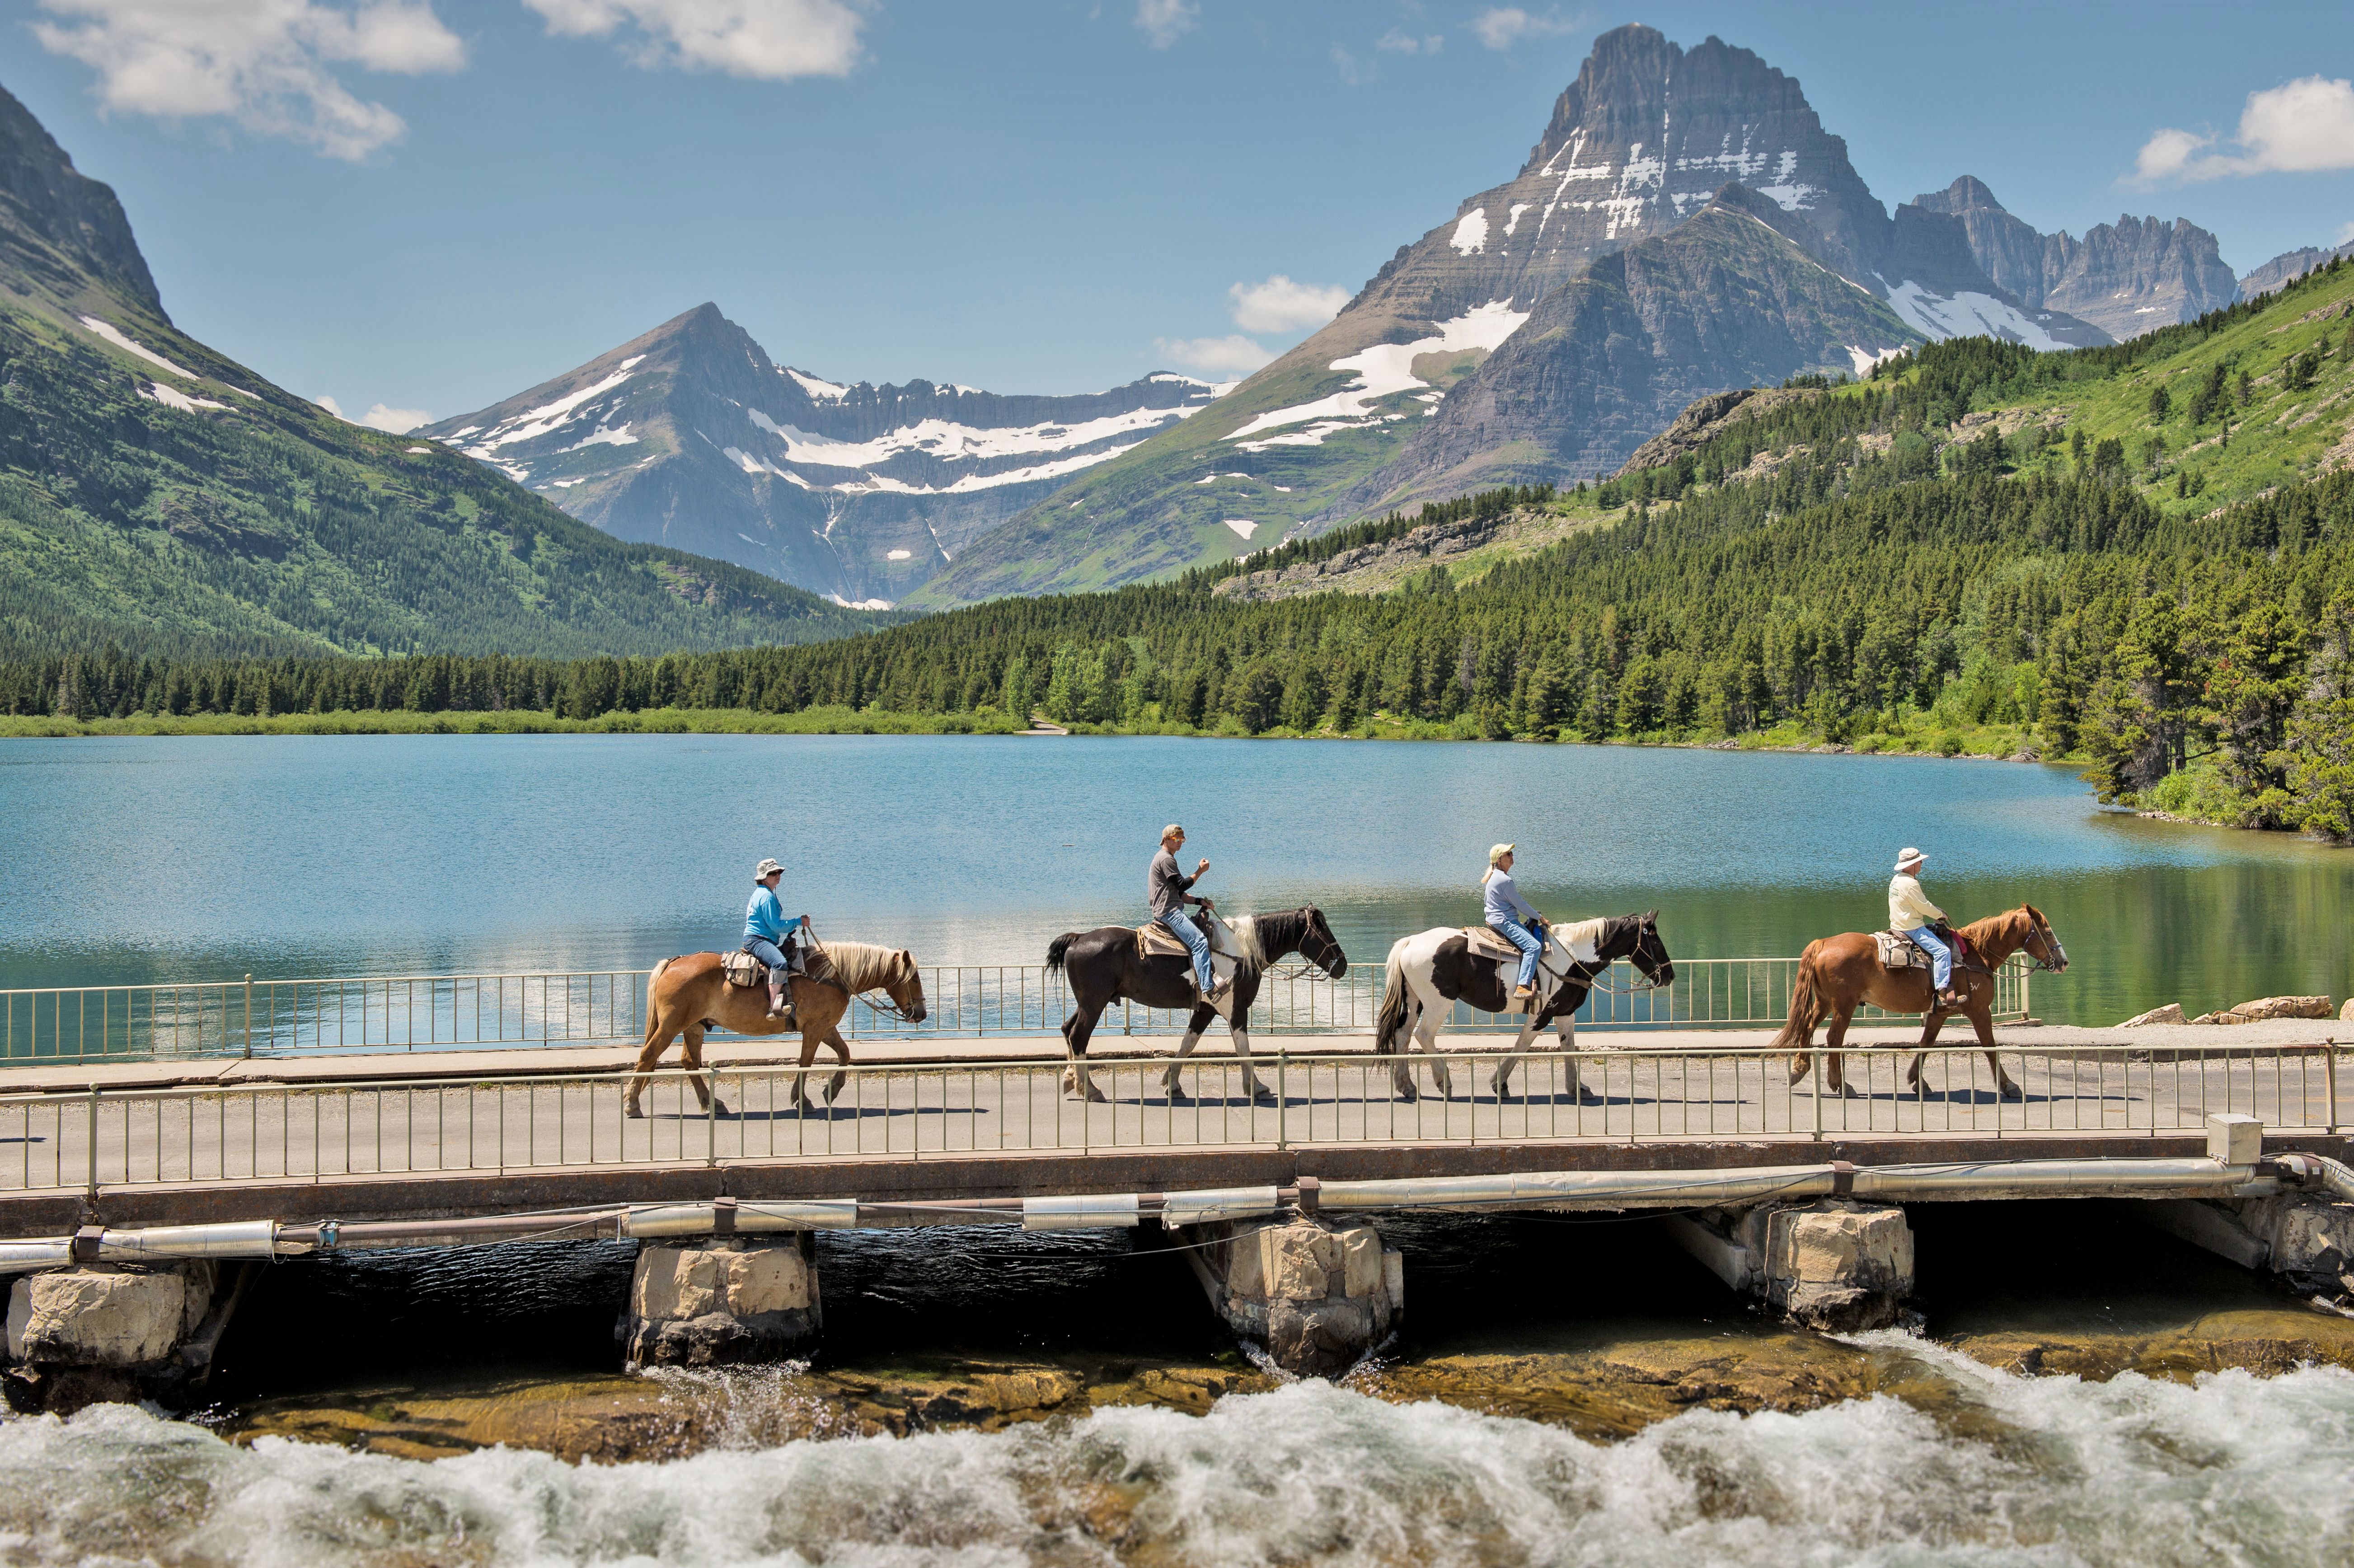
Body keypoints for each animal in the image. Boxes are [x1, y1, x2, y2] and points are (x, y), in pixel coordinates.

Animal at [626, 932, 927, 1116]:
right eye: (914, 978)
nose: (922, 1013)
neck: (831, 974)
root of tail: (673, 963)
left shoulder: (826, 1027)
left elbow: (845, 1054)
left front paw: (832, 1090)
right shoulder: (815, 1029)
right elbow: (806, 1062)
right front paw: (802, 1100)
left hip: (695, 1026)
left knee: (690, 1062)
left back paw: (713, 1103)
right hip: (672, 1025)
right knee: (648, 1055)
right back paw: (632, 1104)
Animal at [1045, 899, 1346, 1106]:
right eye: (1322, 929)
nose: (1342, 965)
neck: (1241, 951)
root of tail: (1078, 939)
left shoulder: (1206, 1011)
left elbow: (1187, 1045)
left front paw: (1172, 1083)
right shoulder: (1236, 1011)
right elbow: (1244, 1050)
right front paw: (1257, 1087)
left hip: (1088, 1004)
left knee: (1067, 1030)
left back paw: (1073, 1080)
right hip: (1094, 1004)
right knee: (1079, 1037)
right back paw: (1090, 1090)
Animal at [1374, 904, 1685, 1097]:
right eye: (1655, 940)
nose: (1669, 974)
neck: (1572, 958)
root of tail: (1411, 942)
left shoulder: (1565, 1013)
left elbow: (1569, 1047)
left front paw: (1578, 1088)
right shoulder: (1541, 1014)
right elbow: (1523, 1044)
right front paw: (1498, 1083)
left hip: (1415, 1001)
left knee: (1402, 1035)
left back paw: (1407, 1086)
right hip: (1439, 1003)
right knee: (1424, 1036)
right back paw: (1444, 1082)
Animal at [1770, 904, 2071, 1097]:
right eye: (2047, 932)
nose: (2063, 962)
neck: (1977, 955)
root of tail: (1823, 942)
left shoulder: (1940, 1013)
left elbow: (1926, 1043)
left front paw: (1918, 1081)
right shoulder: (1979, 1010)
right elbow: (1990, 1048)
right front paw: (2009, 1086)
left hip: (1825, 1002)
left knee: (1808, 1027)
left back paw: (1799, 1070)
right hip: (1844, 1005)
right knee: (1833, 1038)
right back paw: (1840, 1085)